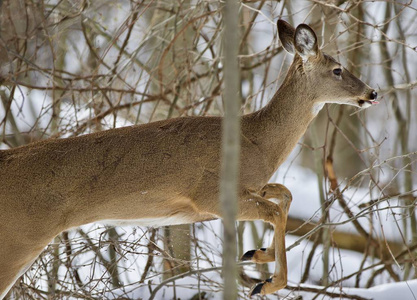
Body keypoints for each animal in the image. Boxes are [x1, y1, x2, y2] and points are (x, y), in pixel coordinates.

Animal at [0, 19, 376, 298]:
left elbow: (285, 194)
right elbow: (275, 209)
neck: (255, 140)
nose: (372, 93)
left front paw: (257, 254)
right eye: (338, 69)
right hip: (18, 238)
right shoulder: (210, 194)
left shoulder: (248, 187)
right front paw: (268, 283)